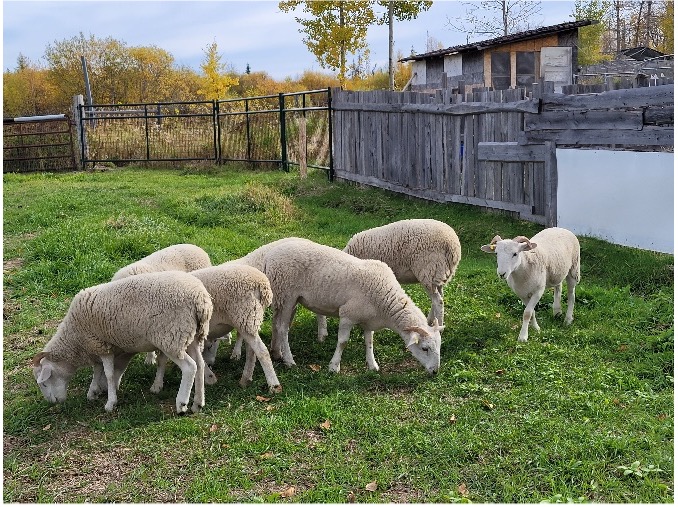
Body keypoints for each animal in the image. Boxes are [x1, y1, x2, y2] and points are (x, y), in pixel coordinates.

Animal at [31, 272, 212, 414]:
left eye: (44, 383)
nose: (52, 403)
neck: (75, 340)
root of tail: (201, 299)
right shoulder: (97, 347)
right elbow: (97, 369)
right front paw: (93, 391)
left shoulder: (102, 346)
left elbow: (109, 374)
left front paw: (110, 402)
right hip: (192, 336)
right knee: (200, 364)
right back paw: (198, 403)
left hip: (171, 338)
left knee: (190, 367)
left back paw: (182, 404)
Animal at [247, 237, 444, 374]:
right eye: (424, 348)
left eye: (439, 346)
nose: (435, 372)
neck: (385, 302)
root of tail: (271, 255)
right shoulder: (348, 315)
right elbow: (342, 342)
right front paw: (334, 367)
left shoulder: (368, 319)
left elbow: (369, 342)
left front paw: (372, 365)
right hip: (287, 296)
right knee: (282, 328)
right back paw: (289, 360)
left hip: (287, 299)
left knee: (278, 324)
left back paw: (277, 353)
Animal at [318, 218, 462, 342]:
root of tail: (453, 247)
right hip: (438, 275)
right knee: (438, 298)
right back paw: (431, 321)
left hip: (429, 270)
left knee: (438, 301)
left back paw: (439, 327)